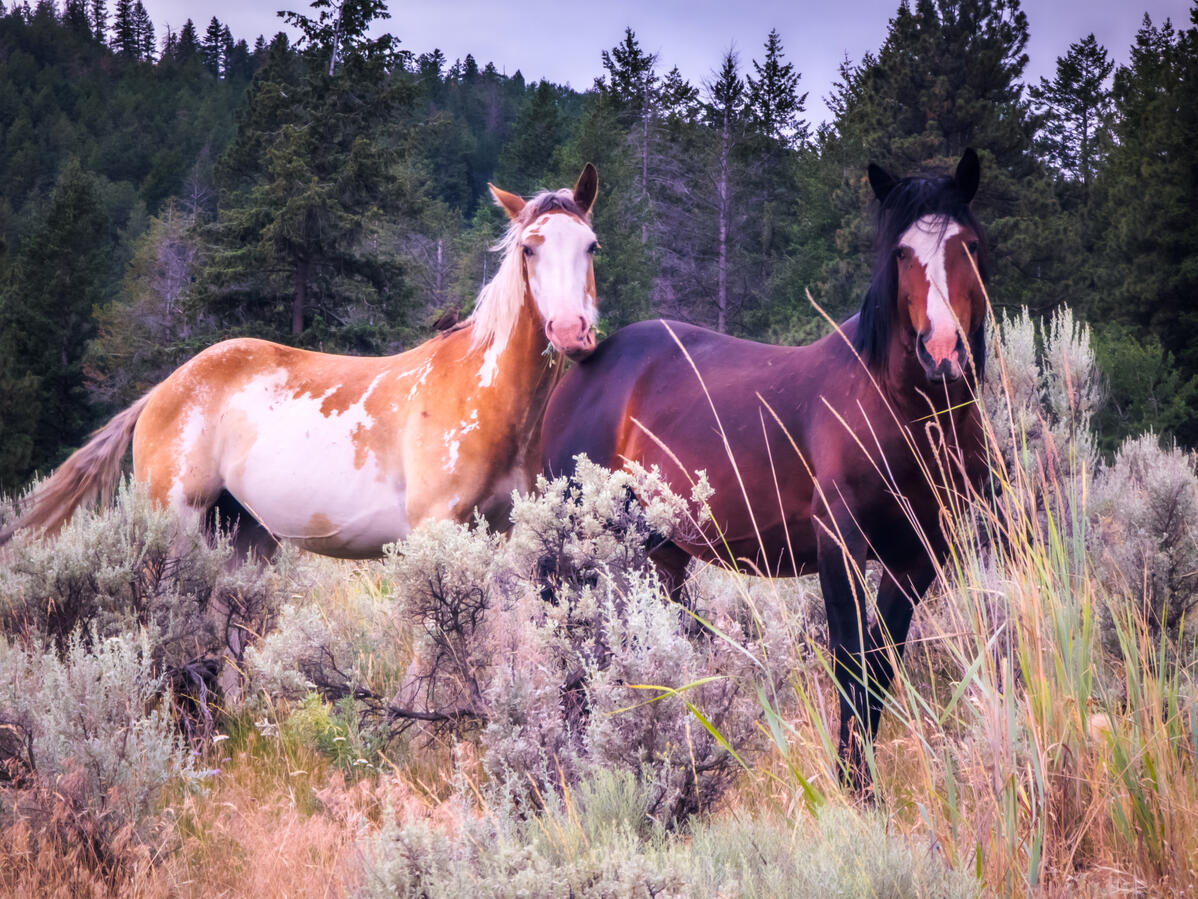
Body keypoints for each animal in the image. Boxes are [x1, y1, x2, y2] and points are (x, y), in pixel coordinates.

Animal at [1, 165, 602, 559]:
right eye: (528, 248)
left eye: (591, 245)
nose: (570, 331)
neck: (484, 394)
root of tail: (162, 390)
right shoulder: (435, 529)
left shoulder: (502, 532)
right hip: (175, 521)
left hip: (243, 537)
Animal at [542, 151, 989, 792]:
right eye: (902, 253)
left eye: (970, 246)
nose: (945, 353)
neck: (902, 411)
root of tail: (581, 366)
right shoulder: (839, 546)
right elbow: (850, 664)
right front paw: (851, 789)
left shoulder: (917, 556)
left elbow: (880, 670)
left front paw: (864, 785)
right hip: (577, 546)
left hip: (663, 555)